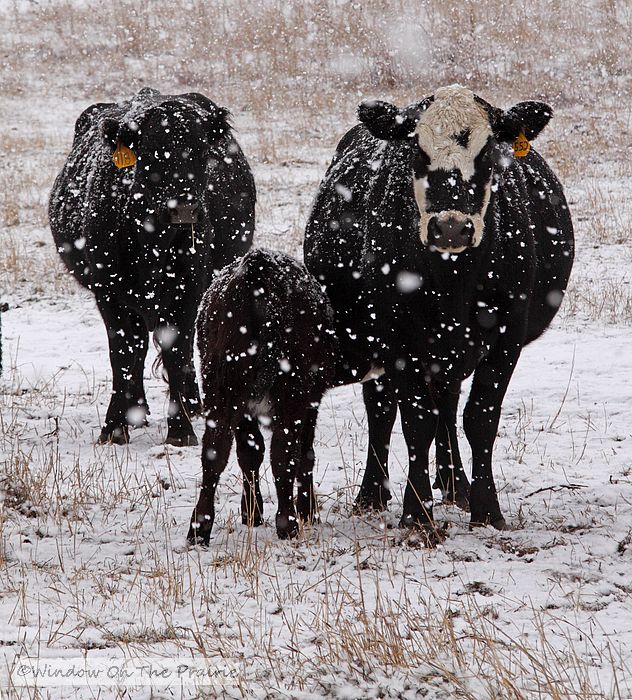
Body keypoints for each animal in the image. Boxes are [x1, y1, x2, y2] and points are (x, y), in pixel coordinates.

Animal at [50, 89, 254, 448]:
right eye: (150, 153)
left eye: (202, 151)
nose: (184, 208)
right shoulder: (109, 295)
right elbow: (123, 354)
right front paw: (115, 428)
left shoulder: (188, 290)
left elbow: (176, 349)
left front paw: (181, 430)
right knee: (138, 350)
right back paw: (138, 410)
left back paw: (192, 404)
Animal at [304, 86, 576, 536]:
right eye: (417, 148)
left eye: (489, 152)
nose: (450, 227)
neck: (453, 280)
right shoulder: (398, 337)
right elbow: (415, 421)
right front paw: (416, 515)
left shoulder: (507, 336)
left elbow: (480, 419)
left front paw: (487, 510)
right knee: (382, 408)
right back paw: (372, 494)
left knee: (447, 405)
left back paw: (455, 485)